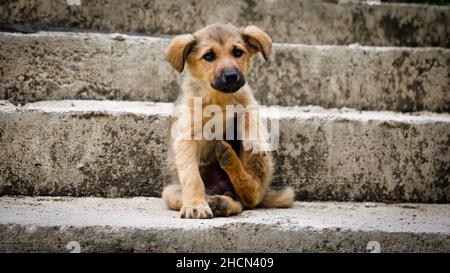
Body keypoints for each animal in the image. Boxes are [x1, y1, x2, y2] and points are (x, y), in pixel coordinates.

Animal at [163, 23, 294, 219]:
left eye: (238, 52)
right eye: (209, 56)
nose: (232, 76)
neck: (219, 98)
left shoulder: (248, 102)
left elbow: (249, 117)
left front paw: (255, 140)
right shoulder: (186, 136)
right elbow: (192, 177)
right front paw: (195, 204)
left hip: (259, 165)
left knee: (251, 196)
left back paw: (230, 163)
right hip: (170, 192)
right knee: (238, 203)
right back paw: (218, 202)